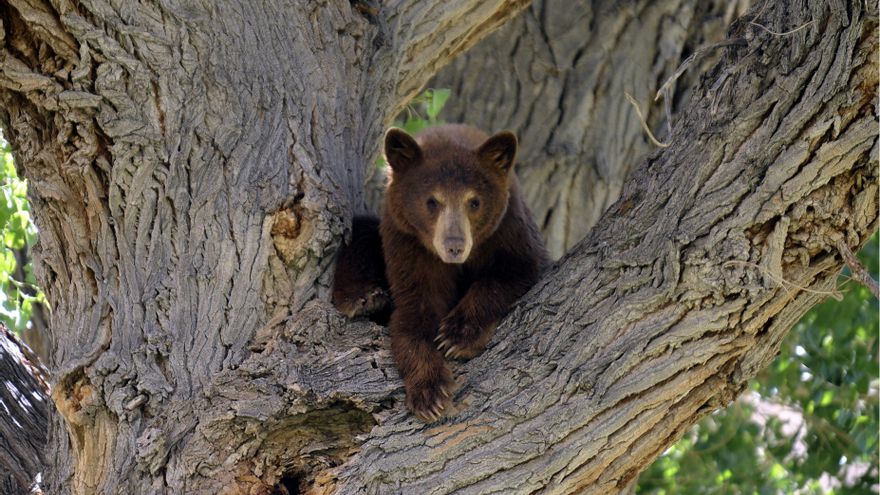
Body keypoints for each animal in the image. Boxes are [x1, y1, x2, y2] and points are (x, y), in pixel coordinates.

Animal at [332, 123, 549, 422]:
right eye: (432, 201)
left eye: (474, 202)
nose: (454, 246)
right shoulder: (408, 245)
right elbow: (414, 312)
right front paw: (429, 393)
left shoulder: (510, 231)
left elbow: (515, 273)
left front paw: (457, 335)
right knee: (362, 230)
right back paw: (363, 298)